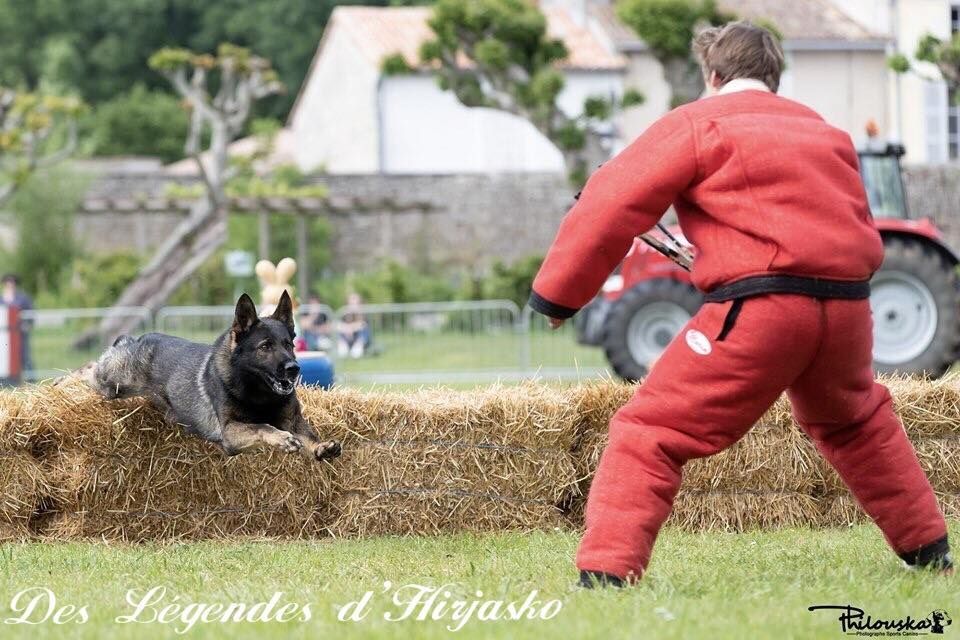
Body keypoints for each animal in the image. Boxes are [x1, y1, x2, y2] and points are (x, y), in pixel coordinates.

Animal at [85, 288, 342, 460]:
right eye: (265, 347)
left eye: (289, 345)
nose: (294, 368)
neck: (258, 393)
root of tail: (138, 339)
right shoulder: (230, 432)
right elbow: (263, 427)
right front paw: (281, 438)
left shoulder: (293, 421)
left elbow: (308, 436)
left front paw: (320, 447)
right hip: (112, 384)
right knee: (91, 371)